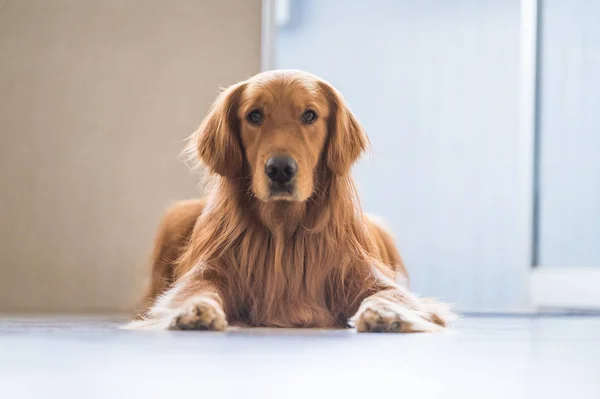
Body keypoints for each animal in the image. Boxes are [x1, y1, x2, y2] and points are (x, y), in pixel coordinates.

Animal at [127, 70, 454, 332]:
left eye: (310, 115)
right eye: (254, 115)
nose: (280, 169)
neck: (283, 228)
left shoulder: (368, 277)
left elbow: (390, 294)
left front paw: (386, 313)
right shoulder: (208, 270)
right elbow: (195, 290)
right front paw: (194, 311)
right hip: (177, 215)